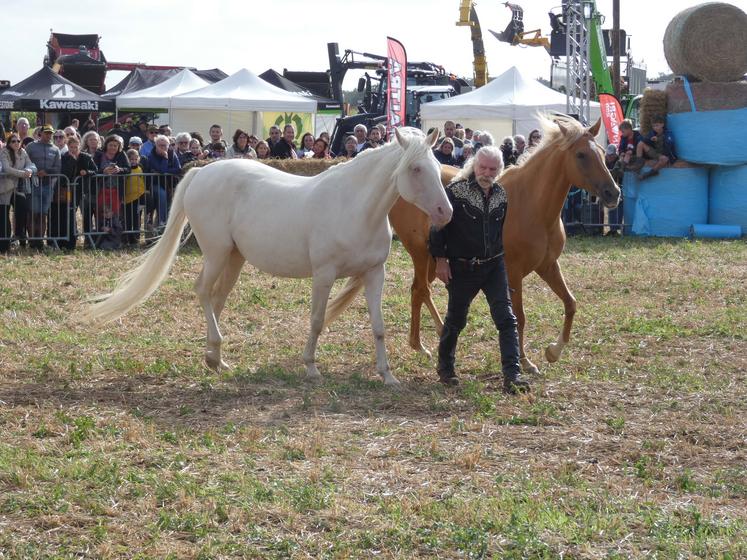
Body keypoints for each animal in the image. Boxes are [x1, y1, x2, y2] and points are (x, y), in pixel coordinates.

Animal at [87, 127, 452, 387]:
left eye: (437, 167)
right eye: (415, 168)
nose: (445, 212)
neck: (356, 207)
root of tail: (202, 172)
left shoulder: (375, 273)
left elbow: (378, 326)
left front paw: (387, 375)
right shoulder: (324, 274)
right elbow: (317, 320)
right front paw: (311, 367)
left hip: (234, 259)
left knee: (217, 299)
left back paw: (215, 360)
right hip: (216, 253)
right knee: (203, 292)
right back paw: (215, 353)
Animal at [325, 115, 620, 375]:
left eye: (601, 151)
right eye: (581, 155)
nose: (613, 193)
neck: (531, 204)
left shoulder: (548, 265)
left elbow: (571, 304)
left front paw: (553, 352)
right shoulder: (513, 272)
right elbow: (520, 316)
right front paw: (526, 362)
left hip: (434, 261)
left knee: (419, 291)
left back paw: (427, 340)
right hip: (420, 253)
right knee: (421, 290)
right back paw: (425, 343)